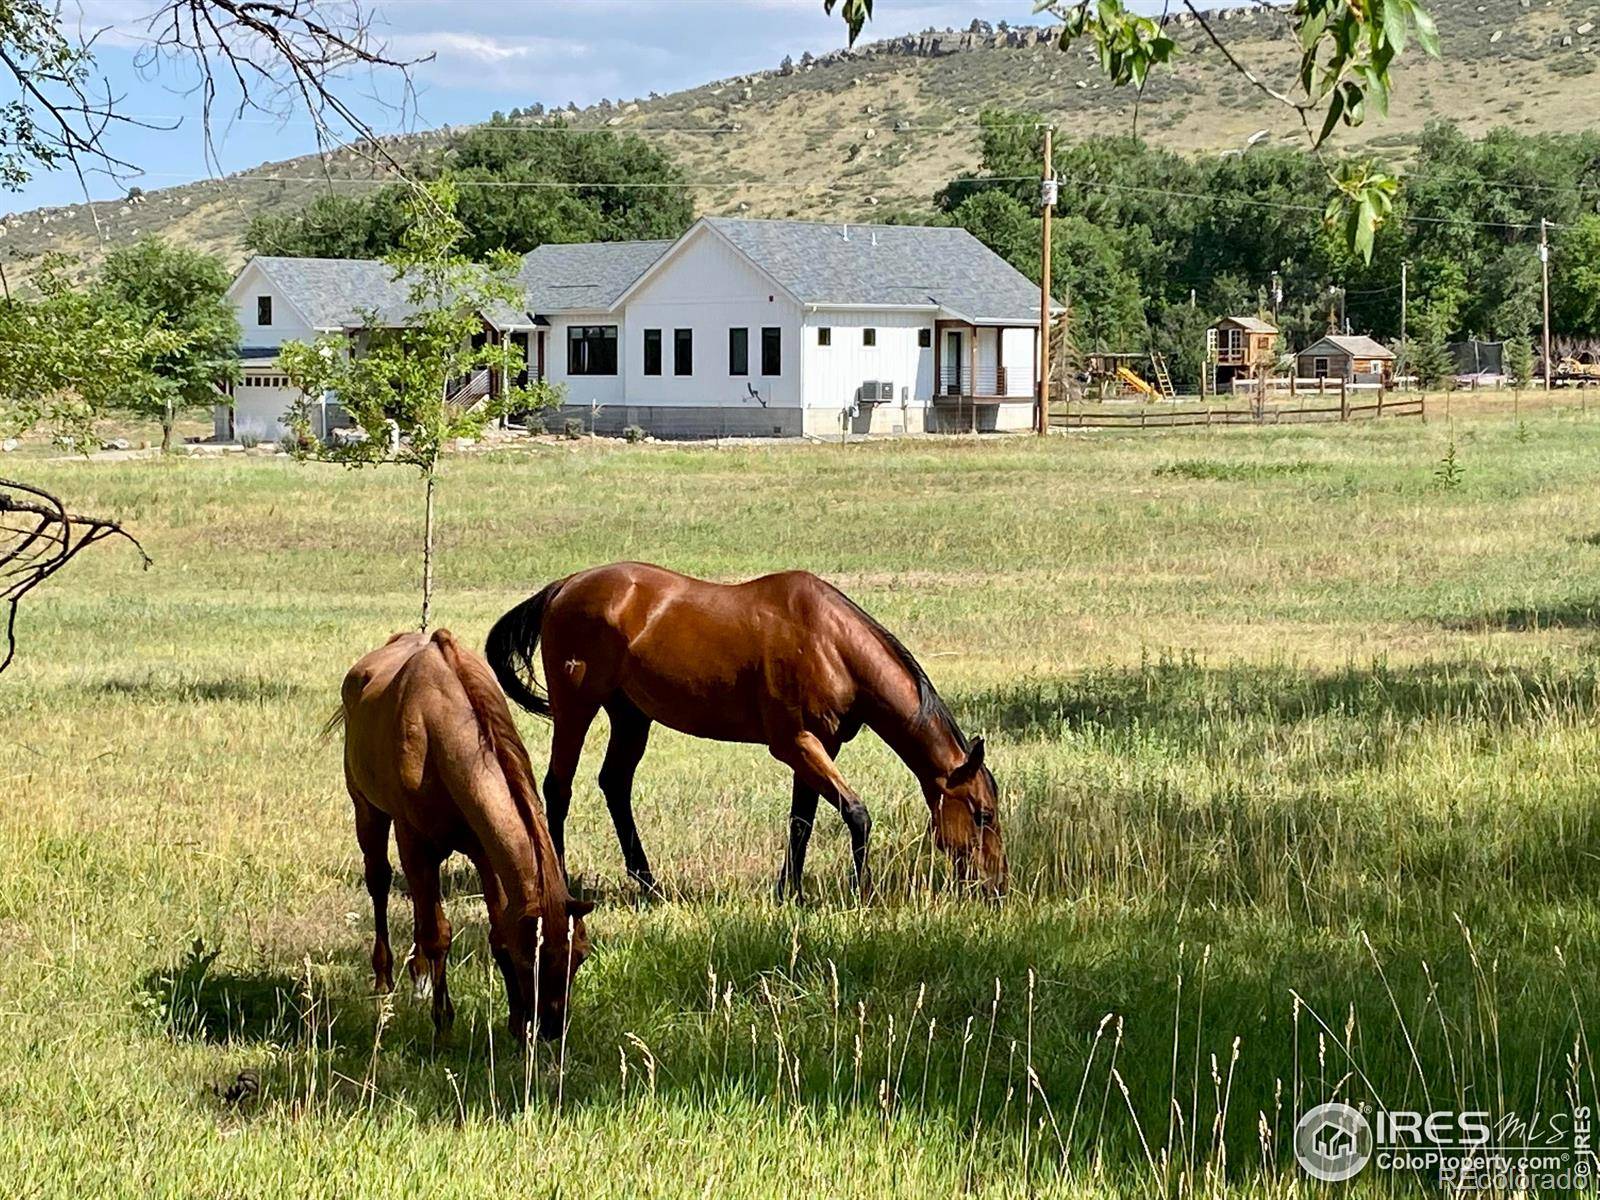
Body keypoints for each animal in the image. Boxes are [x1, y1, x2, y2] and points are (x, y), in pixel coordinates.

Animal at [337, 630, 595, 1043]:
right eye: (533, 959)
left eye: (581, 955)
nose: (552, 1027)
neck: (437, 729)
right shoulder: (415, 843)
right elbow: (438, 934)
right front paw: (443, 1022)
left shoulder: (484, 851)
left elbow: (498, 930)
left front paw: (515, 1022)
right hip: (367, 809)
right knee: (379, 881)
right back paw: (385, 977)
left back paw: (419, 974)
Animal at [480, 563, 1004, 902]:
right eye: (982, 815)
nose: (996, 887)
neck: (831, 642)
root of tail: (564, 587)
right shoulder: (794, 744)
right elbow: (856, 813)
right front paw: (863, 892)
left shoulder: (819, 746)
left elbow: (802, 821)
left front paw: (789, 892)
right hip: (577, 708)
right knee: (558, 788)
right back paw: (563, 883)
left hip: (631, 716)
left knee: (614, 784)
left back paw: (649, 883)